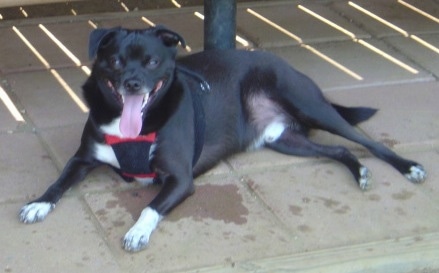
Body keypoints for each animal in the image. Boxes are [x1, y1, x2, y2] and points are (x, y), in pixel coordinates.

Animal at [18, 25, 428, 251]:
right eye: (116, 61)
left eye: (152, 61)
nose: (133, 83)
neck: (130, 124)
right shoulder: (83, 159)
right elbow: (58, 182)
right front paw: (38, 204)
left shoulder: (179, 179)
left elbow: (150, 207)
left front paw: (137, 232)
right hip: (287, 141)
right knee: (341, 148)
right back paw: (359, 172)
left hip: (310, 106)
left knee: (366, 141)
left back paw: (408, 167)